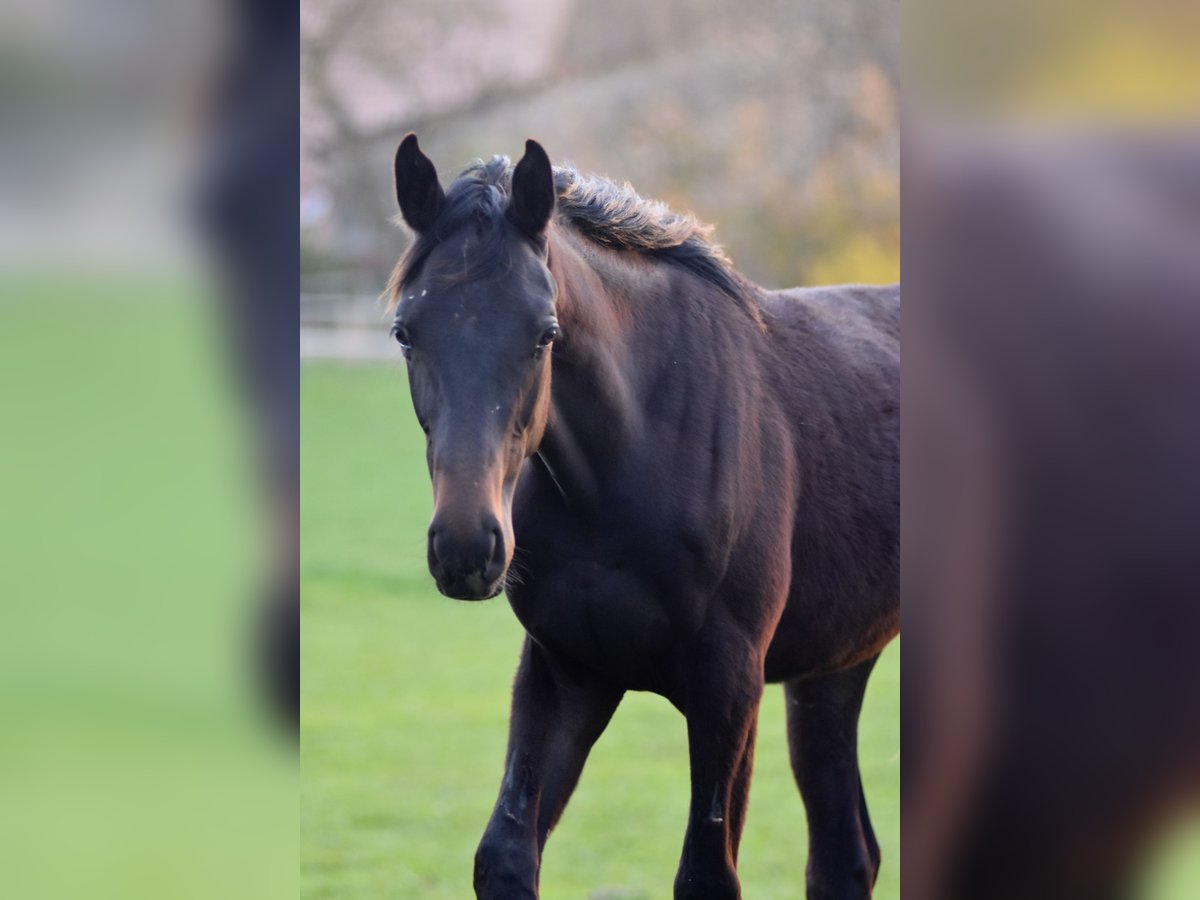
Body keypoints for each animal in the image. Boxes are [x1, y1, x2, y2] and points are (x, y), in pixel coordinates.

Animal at [388, 135, 897, 900]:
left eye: (546, 334)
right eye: (404, 332)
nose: (467, 548)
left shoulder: (728, 686)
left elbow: (706, 875)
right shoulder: (565, 671)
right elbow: (505, 855)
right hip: (835, 665)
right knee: (845, 854)